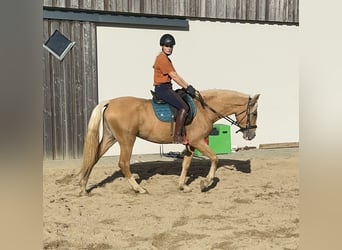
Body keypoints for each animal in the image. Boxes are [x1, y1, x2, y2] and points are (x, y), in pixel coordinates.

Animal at [78, 89, 260, 194]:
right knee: (123, 163)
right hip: (127, 140)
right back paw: (138, 188)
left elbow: (186, 164)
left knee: (93, 158)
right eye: (255, 113)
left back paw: (83, 186)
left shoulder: (190, 144)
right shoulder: (198, 141)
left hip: (111, 138)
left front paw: (182, 186)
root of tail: (110, 103)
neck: (204, 110)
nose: (251, 135)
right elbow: (215, 159)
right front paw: (205, 183)